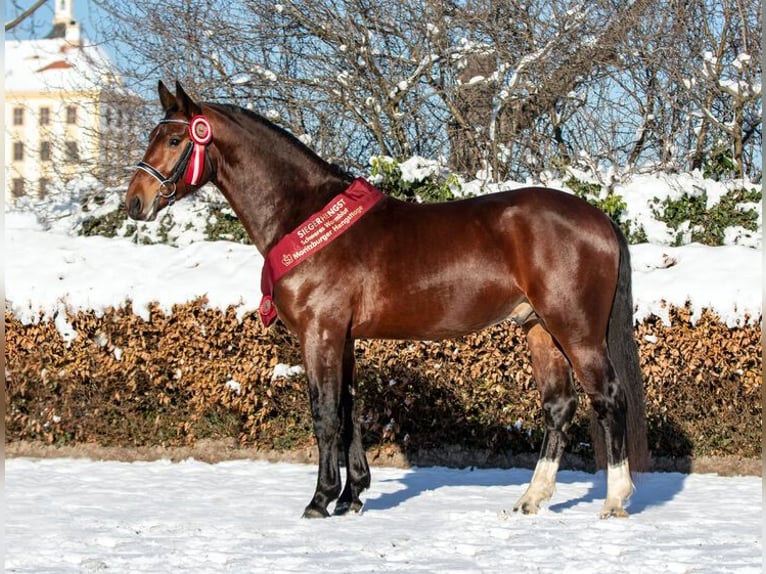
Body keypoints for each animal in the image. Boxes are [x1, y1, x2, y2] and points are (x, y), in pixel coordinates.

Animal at [126, 81, 649, 519]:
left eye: (174, 140)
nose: (135, 201)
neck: (304, 213)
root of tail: (600, 218)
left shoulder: (320, 333)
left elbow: (325, 416)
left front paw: (319, 501)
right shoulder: (344, 338)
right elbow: (349, 411)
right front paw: (352, 496)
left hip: (576, 331)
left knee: (608, 398)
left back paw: (614, 501)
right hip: (539, 328)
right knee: (558, 406)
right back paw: (531, 499)